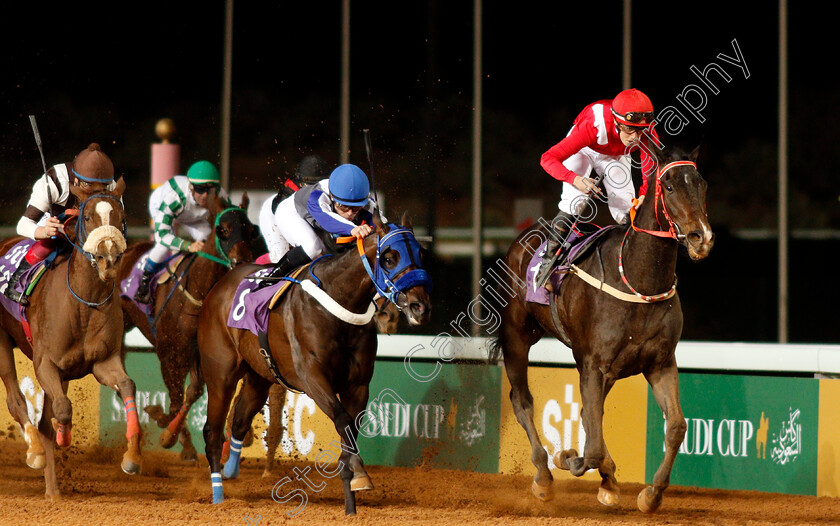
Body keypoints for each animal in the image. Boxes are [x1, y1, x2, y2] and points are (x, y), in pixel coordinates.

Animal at [0, 184, 143, 502]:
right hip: (1, 343)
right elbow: (63, 410)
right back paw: (35, 452)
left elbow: (128, 385)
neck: (83, 303)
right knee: (17, 401)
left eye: (122, 217)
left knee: (44, 418)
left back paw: (53, 490)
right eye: (87, 217)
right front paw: (62, 437)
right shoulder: (45, 364)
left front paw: (131, 457)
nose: (108, 259)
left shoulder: (103, 362)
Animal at [117, 190, 256, 462]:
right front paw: (167, 430)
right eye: (223, 229)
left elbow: (192, 393)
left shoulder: (200, 353)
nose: (243, 261)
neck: (197, 293)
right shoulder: (170, 353)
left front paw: (170, 431)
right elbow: (174, 399)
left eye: (250, 229)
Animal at [199, 211, 430, 516]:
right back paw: (218, 495)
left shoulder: (358, 385)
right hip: (220, 374)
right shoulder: (313, 378)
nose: (420, 307)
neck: (339, 301)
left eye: (421, 253)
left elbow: (350, 429)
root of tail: (219, 286)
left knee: (239, 419)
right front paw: (357, 473)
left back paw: (231, 469)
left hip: (259, 375)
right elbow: (342, 420)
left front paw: (353, 494)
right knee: (212, 431)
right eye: (390, 258)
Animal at [492, 145, 716, 516]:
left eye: (702, 184)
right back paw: (543, 476)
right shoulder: (593, 364)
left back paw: (606, 480)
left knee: (588, 415)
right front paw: (568, 458)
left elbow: (675, 426)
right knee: (522, 401)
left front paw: (651, 494)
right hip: (516, 336)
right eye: (669, 187)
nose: (702, 238)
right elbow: (592, 446)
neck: (638, 279)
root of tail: (524, 239)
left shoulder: (659, 362)